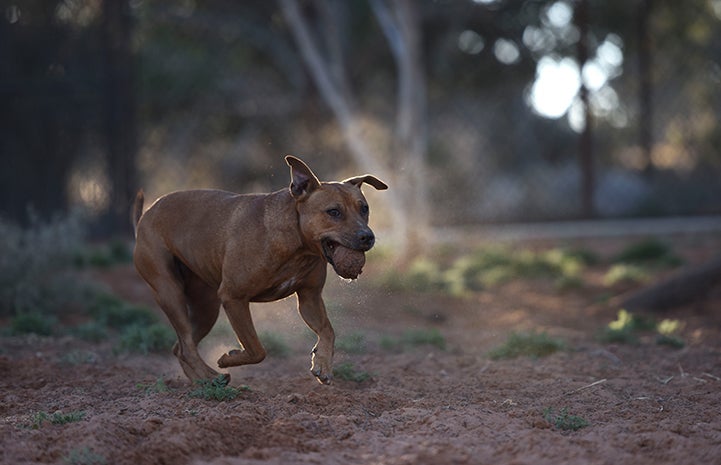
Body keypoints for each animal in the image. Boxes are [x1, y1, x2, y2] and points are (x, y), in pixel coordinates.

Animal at [131, 154, 386, 382]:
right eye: (333, 212)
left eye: (364, 208)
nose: (367, 237)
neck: (296, 244)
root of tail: (145, 216)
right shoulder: (234, 298)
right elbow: (256, 349)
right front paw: (229, 358)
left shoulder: (309, 298)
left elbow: (328, 330)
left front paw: (322, 363)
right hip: (170, 292)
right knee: (186, 345)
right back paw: (212, 377)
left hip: (206, 307)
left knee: (181, 347)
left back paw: (203, 382)